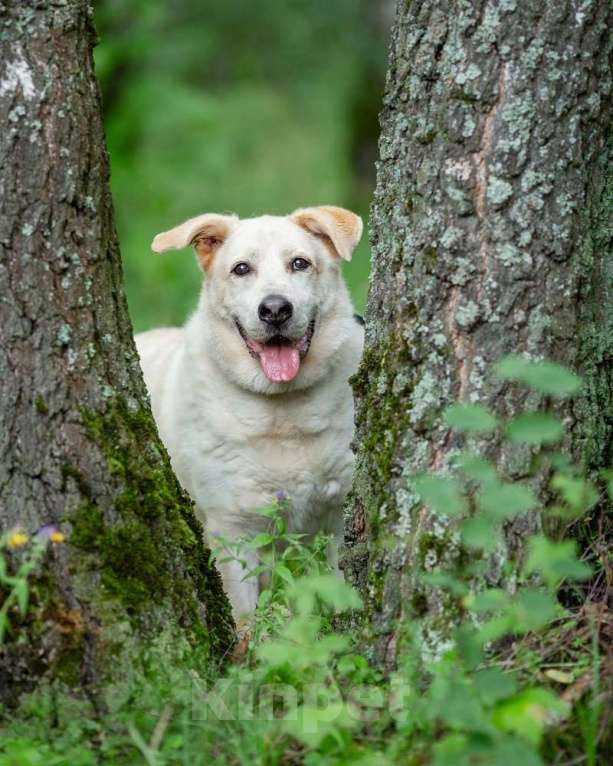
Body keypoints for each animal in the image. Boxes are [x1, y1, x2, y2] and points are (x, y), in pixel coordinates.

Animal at [134, 204, 364, 616]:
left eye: (300, 263)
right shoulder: (233, 531)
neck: (283, 411)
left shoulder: (339, 519)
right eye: (241, 269)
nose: (275, 309)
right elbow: (246, 618)